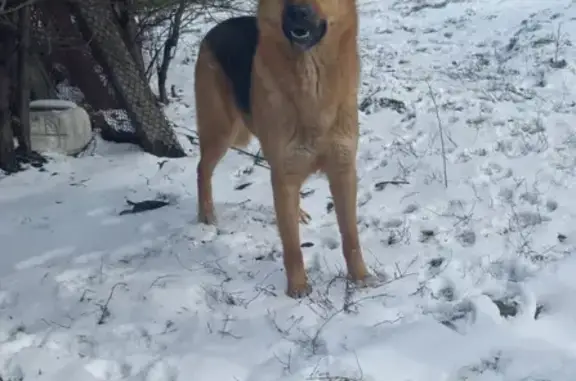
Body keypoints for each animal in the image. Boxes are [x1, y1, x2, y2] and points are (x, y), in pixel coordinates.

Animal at [196, 0, 372, 296]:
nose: (298, 11)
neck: (311, 83)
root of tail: (217, 27)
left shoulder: (343, 170)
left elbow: (351, 235)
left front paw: (361, 277)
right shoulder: (285, 173)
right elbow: (291, 245)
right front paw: (298, 287)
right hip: (221, 133)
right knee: (202, 169)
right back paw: (206, 213)